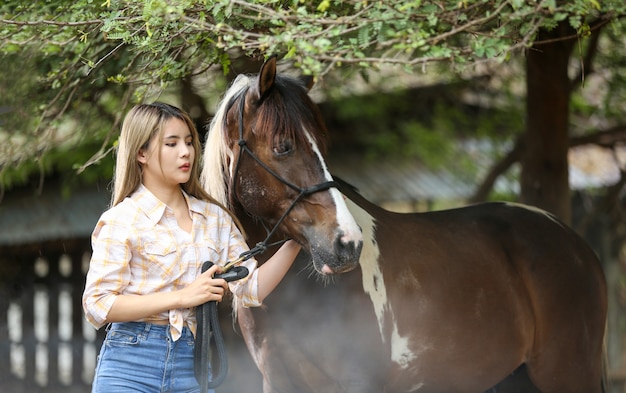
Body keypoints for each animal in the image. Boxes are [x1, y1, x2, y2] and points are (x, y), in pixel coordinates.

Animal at [201, 56, 604, 392]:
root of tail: (578, 246)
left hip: (567, 375)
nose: (347, 243)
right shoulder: (277, 381)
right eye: (283, 146)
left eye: (324, 146)